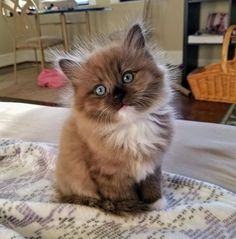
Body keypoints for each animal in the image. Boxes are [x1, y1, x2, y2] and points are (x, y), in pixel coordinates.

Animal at [55, 23, 173, 215]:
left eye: (127, 77)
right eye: (100, 90)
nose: (118, 96)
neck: (131, 126)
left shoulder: (153, 162)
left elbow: (152, 184)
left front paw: (156, 203)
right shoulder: (109, 175)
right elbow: (123, 196)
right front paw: (133, 210)